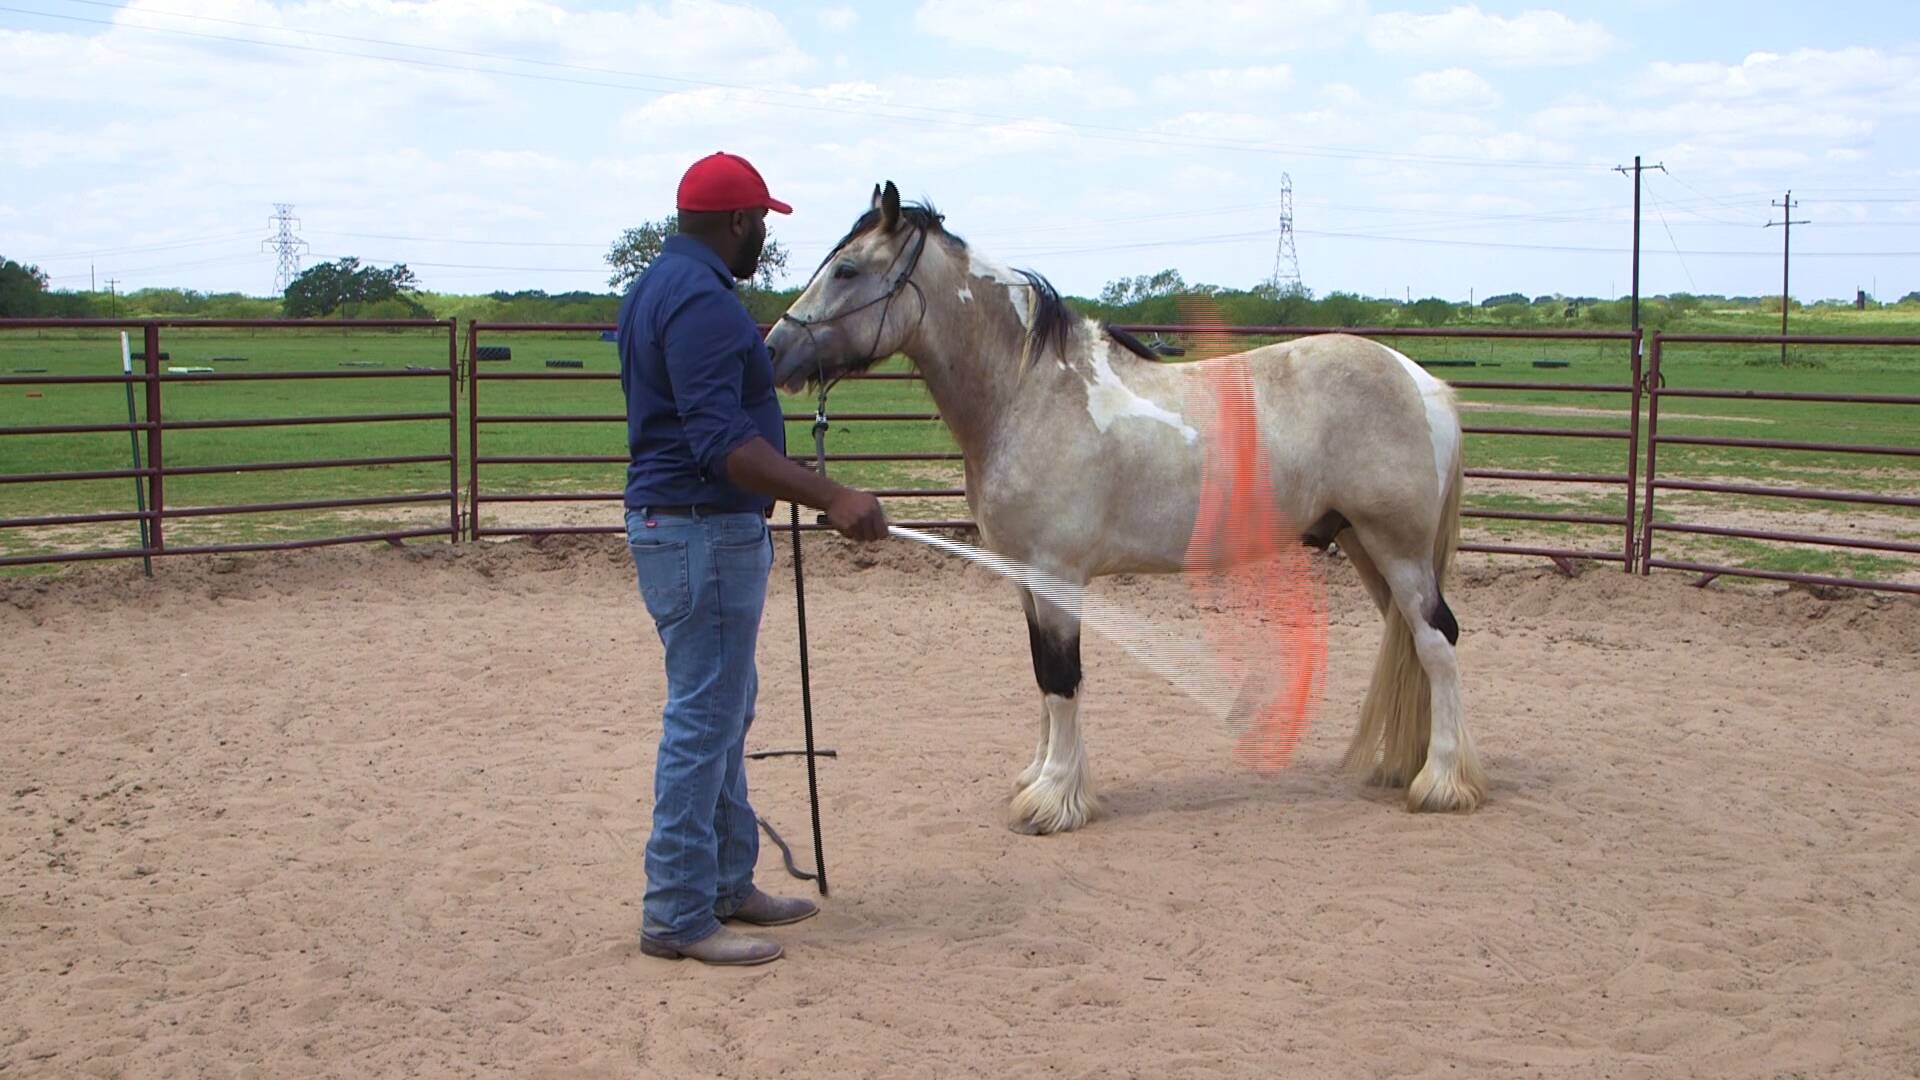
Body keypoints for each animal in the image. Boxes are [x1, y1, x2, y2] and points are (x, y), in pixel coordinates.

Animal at [764, 181, 1484, 835]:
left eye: (847, 269)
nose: (773, 349)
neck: (1033, 395)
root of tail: (1425, 383)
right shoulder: (1027, 580)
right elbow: (1041, 675)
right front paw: (1040, 776)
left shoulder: (1057, 578)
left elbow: (1061, 679)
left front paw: (1054, 800)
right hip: (1366, 545)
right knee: (1411, 641)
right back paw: (1410, 765)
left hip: (1397, 548)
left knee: (1437, 642)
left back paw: (1441, 782)